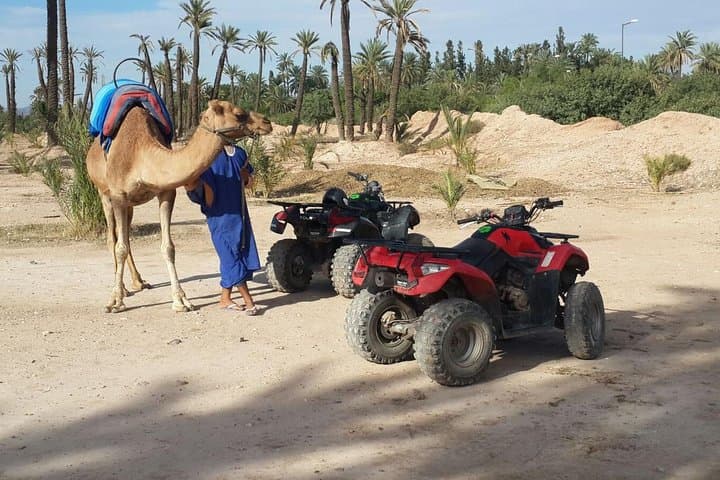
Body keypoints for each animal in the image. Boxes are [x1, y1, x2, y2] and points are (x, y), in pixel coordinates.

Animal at [86, 99, 272, 313]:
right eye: (239, 114)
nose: (267, 122)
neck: (141, 155)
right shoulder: (118, 196)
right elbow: (120, 248)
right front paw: (115, 301)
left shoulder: (166, 193)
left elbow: (168, 247)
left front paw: (181, 300)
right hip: (104, 195)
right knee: (113, 239)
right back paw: (124, 289)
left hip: (130, 205)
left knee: (126, 238)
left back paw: (139, 282)